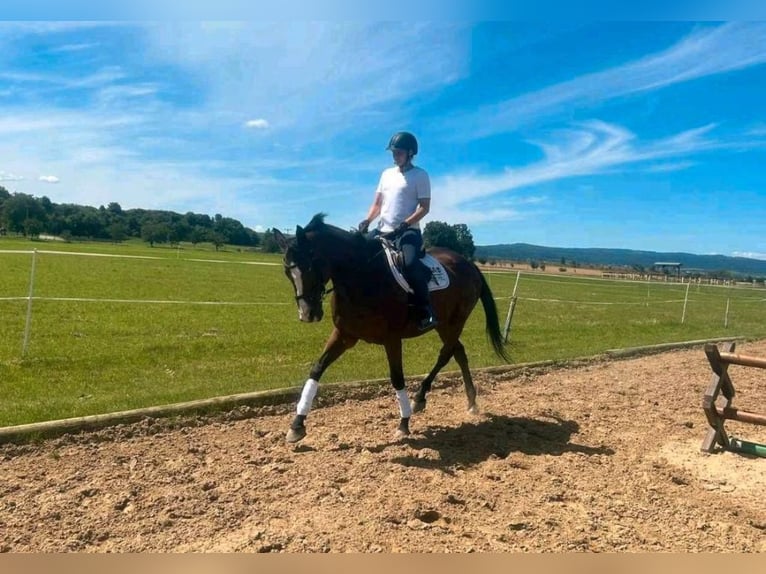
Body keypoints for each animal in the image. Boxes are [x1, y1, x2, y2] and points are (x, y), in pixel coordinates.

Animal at [274, 214, 510, 444]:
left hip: (454, 322)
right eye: (287, 271)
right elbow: (317, 369)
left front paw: (404, 424)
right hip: (445, 325)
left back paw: (419, 398)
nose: (307, 314)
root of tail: (469, 264)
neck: (362, 277)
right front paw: (297, 425)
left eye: (310, 266)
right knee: (458, 352)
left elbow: (397, 377)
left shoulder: (392, 339)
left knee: (446, 353)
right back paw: (470, 401)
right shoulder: (344, 335)